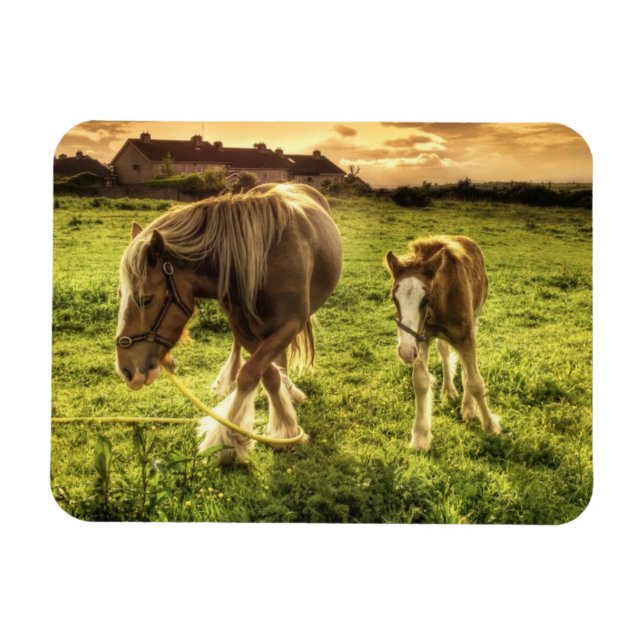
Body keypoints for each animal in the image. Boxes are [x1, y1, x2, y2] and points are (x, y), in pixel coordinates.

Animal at [115, 183, 343, 463]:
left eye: (145, 299)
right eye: (120, 294)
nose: (126, 369)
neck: (264, 259)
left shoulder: (289, 325)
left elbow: (252, 374)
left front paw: (229, 442)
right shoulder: (244, 330)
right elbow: (264, 375)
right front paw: (281, 426)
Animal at [385, 235, 500, 451]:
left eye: (425, 299)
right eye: (394, 299)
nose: (405, 351)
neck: (441, 302)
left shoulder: (465, 336)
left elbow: (475, 381)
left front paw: (490, 425)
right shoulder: (420, 338)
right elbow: (421, 381)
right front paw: (420, 436)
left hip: (475, 319)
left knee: (465, 365)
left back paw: (468, 407)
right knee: (444, 351)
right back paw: (449, 390)